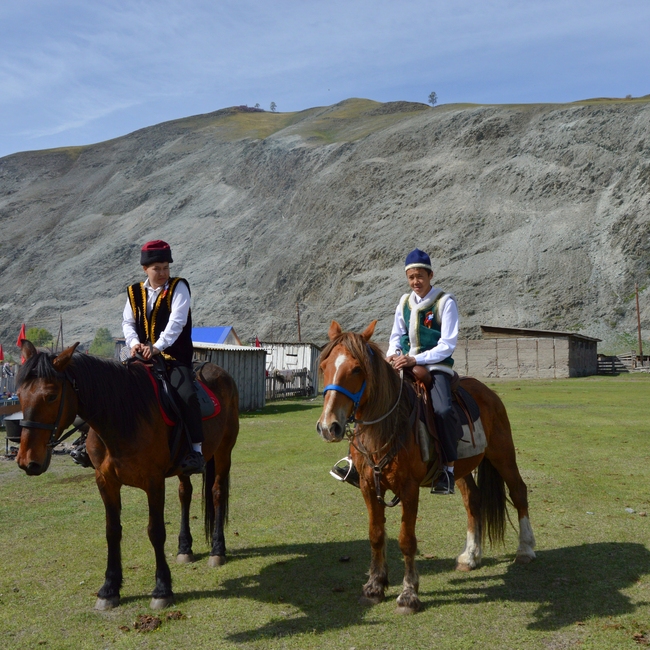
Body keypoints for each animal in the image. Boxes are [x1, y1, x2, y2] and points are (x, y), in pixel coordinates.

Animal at [15, 340, 239, 610]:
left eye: (51, 395)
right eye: (20, 395)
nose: (27, 461)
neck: (123, 416)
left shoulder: (154, 482)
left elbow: (155, 531)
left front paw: (162, 589)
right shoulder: (106, 481)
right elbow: (112, 531)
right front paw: (109, 589)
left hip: (224, 451)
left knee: (217, 493)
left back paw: (217, 550)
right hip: (182, 468)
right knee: (185, 494)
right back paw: (185, 548)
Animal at [316, 321, 535, 613]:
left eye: (356, 369)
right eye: (324, 365)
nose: (329, 426)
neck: (387, 426)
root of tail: (487, 392)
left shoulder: (409, 489)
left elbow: (407, 540)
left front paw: (409, 594)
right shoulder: (367, 485)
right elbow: (376, 535)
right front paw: (374, 587)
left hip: (502, 454)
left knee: (518, 491)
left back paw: (526, 550)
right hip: (460, 469)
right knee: (473, 500)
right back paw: (471, 556)